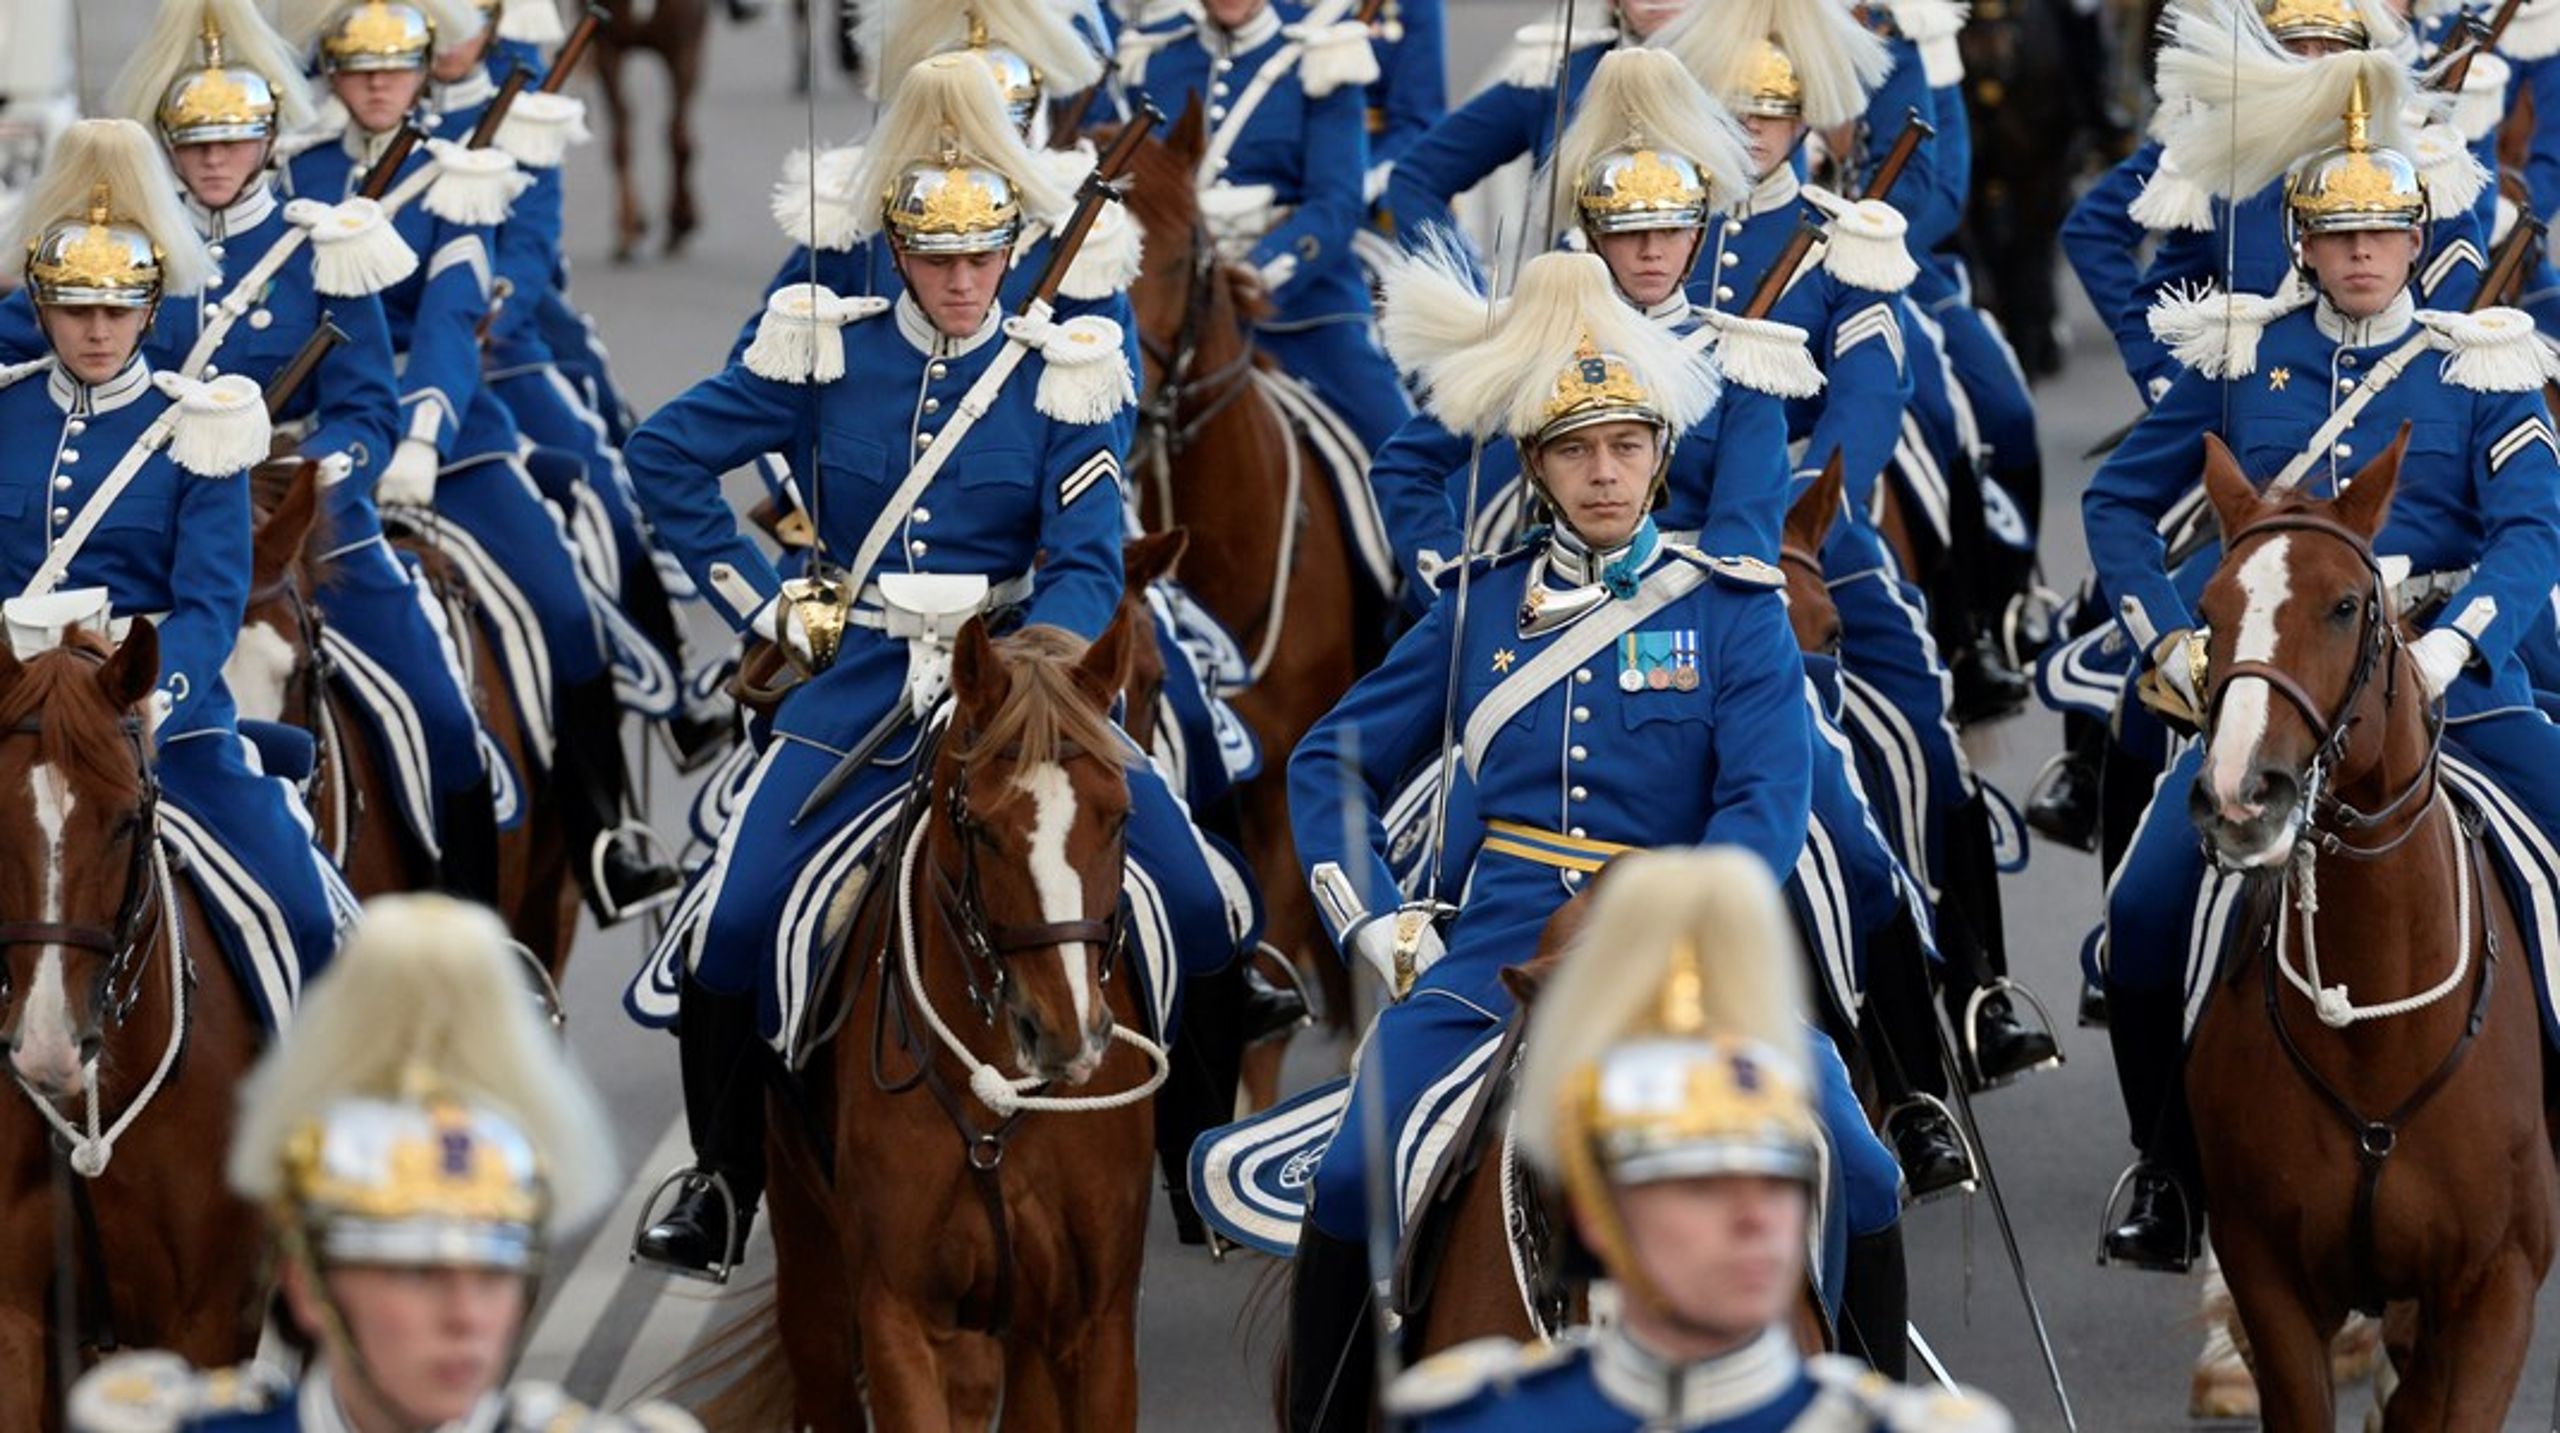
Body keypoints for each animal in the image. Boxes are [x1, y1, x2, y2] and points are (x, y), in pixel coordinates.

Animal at [591, 0, 706, 259]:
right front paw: (629, 226)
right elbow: (622, 136)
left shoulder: (684, 44)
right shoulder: (607, 46)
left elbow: (679, 137)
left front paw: (681, 220)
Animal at [716, 609, 1167, 1422]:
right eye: (981, 828)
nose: (1067, 1036)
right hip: (813, 1273)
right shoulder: (902, 1320)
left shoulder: (1096, 1326)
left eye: (1120, 816)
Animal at [2181, 429, 2560, 1422]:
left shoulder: (2495, 1288)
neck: (2377, 1030)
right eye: (2209, 609)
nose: (2241, 795)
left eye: (2346, 606)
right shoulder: (2269, 1277)